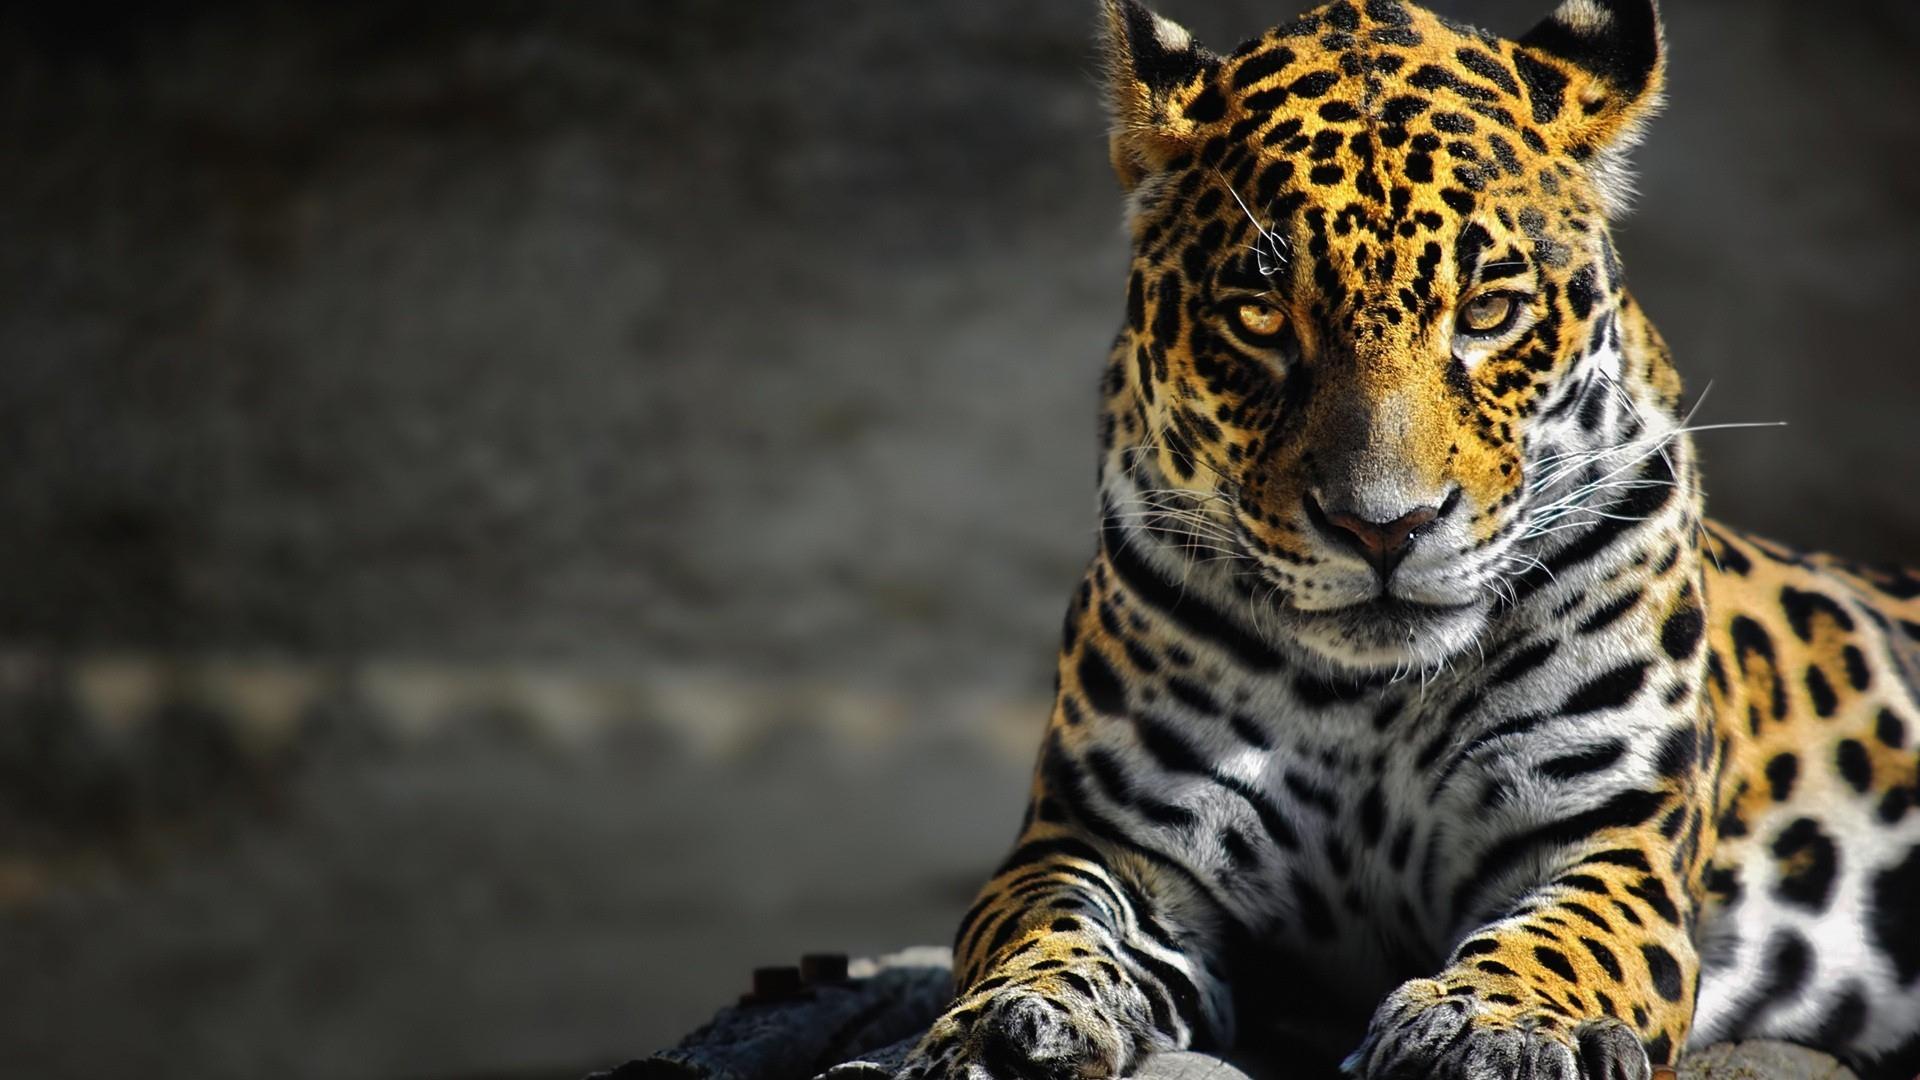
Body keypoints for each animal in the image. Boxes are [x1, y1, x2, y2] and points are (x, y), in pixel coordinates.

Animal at [893, 2, 1920, 1079]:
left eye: (1489, 312)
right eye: (1260, 317)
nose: (1383, 528)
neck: (1370, 703)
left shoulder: (1612, 834)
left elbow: (1564, 940)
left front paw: (1489, 1024)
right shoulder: (1102, 838)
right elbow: (1042, 923)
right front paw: (1007, 1022)